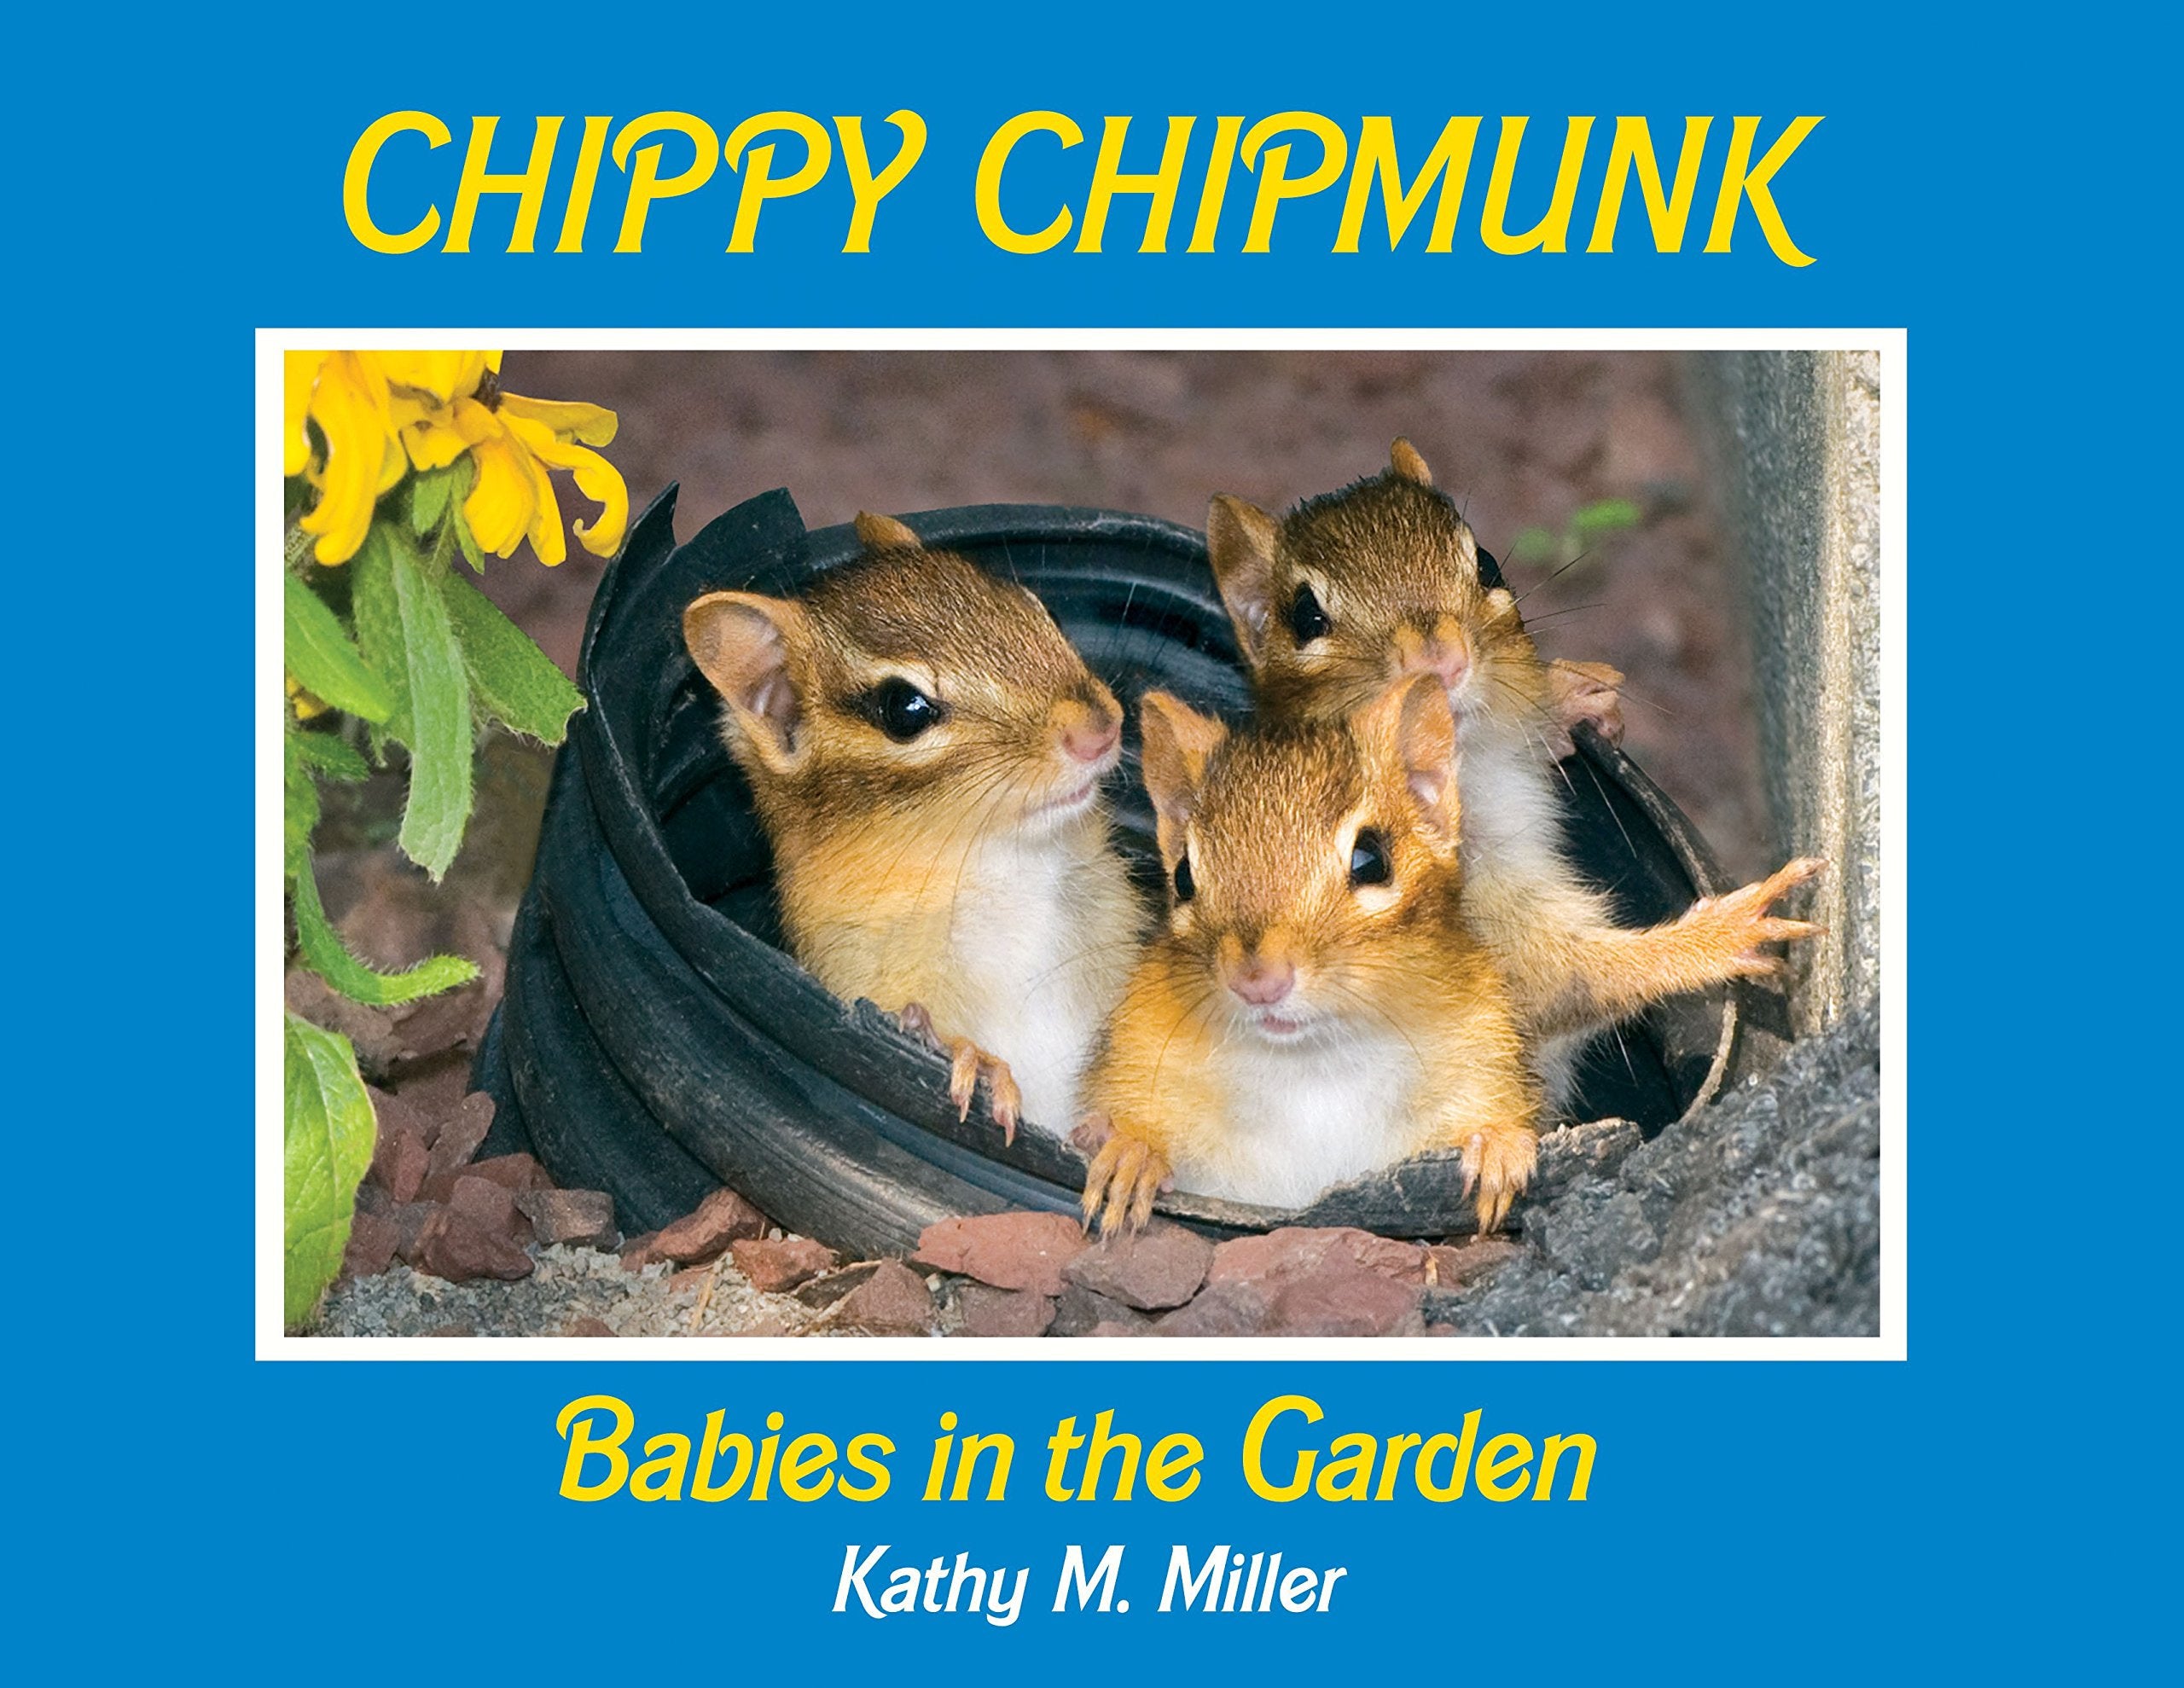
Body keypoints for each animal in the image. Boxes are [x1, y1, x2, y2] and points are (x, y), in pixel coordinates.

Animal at [1077, 674, 1539, 1236]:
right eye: (1183, 875)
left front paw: (1496, 1147)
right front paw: (1132, 1154)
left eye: (1371, 859)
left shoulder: (1484, 1055)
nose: (1257, 981)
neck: (1313, 1065)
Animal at [1204, 440, 1825, 1108]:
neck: (1475, 774)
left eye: (1487, 565)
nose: (1441, 659)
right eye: (1305, 617)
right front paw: (1719, 935)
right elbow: (1573, 978)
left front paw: (1567, 695)